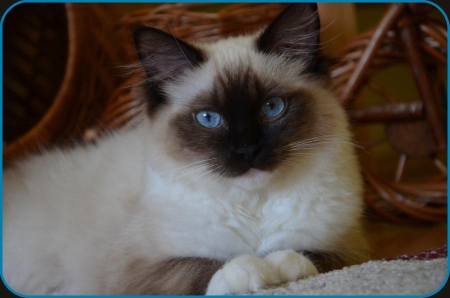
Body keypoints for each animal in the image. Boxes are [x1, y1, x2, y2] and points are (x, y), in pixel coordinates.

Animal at [2, 2, 370, 296]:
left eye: (272, 108)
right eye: (208, 118)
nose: (247, 149)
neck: (253, 204)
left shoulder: (352, 251)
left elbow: (310, 254)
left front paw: (279, 265)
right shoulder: (134, 272)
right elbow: (201, 264)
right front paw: (252, 271)